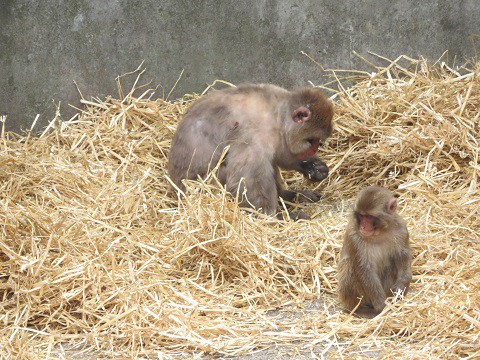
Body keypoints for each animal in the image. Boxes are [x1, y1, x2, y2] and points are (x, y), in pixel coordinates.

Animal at [166, 83, 334, 219]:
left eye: (317, 141)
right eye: (312, 140)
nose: (315, 148)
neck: (277, 114)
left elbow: (282, 154)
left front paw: (313, 167)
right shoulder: (256, 137)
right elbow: (246, 178)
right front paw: (273, 217)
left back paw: (287, 196)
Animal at [338, 186, 412, 318]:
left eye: (368, 217)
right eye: (361, 216)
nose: (362, 227)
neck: (379, 233)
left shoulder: (401, 230)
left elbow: (402, 258)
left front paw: (402, 285)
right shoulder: (353, 237)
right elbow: (365, 270)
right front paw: (381, 305)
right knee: (348, 266)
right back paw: (358, 309)